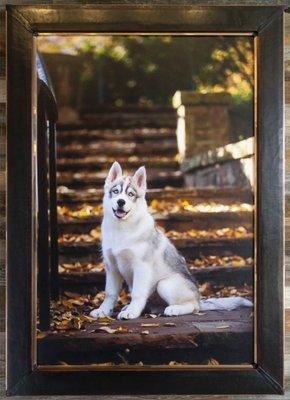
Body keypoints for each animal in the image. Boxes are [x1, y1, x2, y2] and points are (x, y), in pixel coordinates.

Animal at [90, 161, 199, 320]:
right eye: (115, 191)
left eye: (130, 194)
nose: (121, 202)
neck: (121, 230)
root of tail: (199, 297)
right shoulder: (111, 266)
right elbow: (110, 292)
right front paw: (103, 310)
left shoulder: (141, 266)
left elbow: (138, 293)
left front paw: (132, 312)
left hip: (164, 284)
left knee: (193, 305)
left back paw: (175, 309)